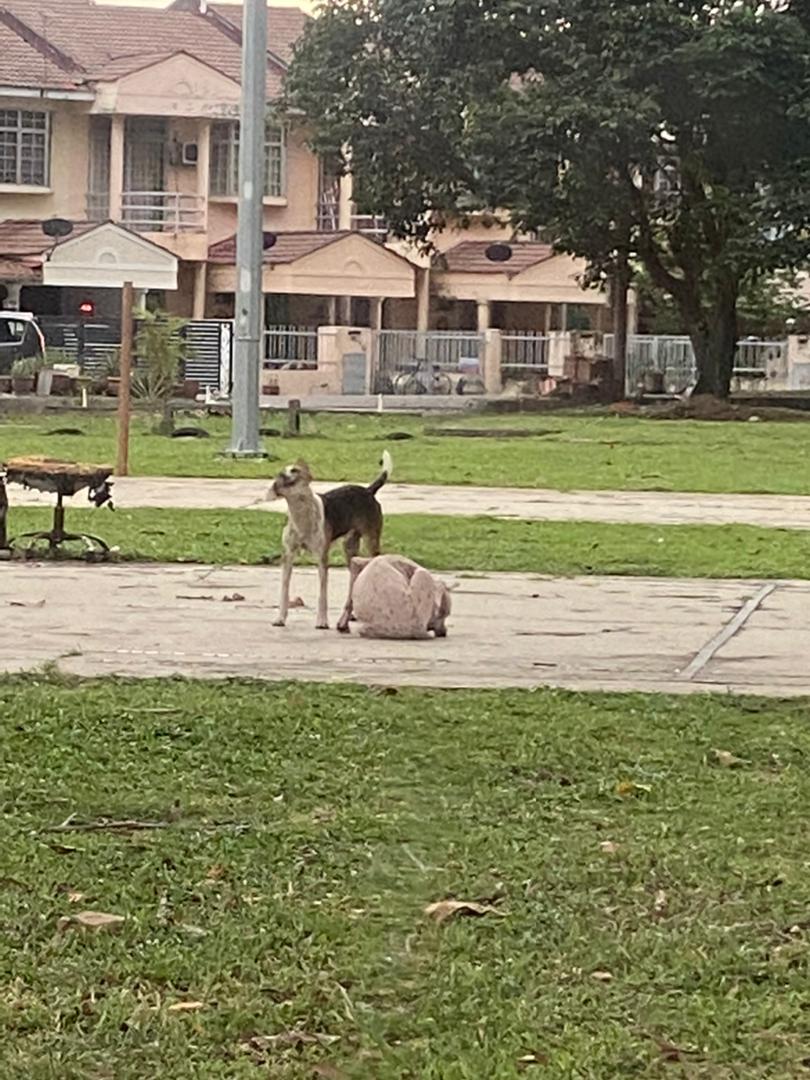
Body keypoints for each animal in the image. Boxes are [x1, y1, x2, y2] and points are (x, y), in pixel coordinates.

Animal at [271, 449, 390, 630]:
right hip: (349, 549)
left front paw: (322, 621)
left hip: (371, 542)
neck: (302, 515)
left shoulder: (322, 559)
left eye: (296, 471)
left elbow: (322, 594)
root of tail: (368, 491)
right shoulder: (288, 557)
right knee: (354, 576)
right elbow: (284, 591)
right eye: (281, 474)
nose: (279, 481)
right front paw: (280, 618)